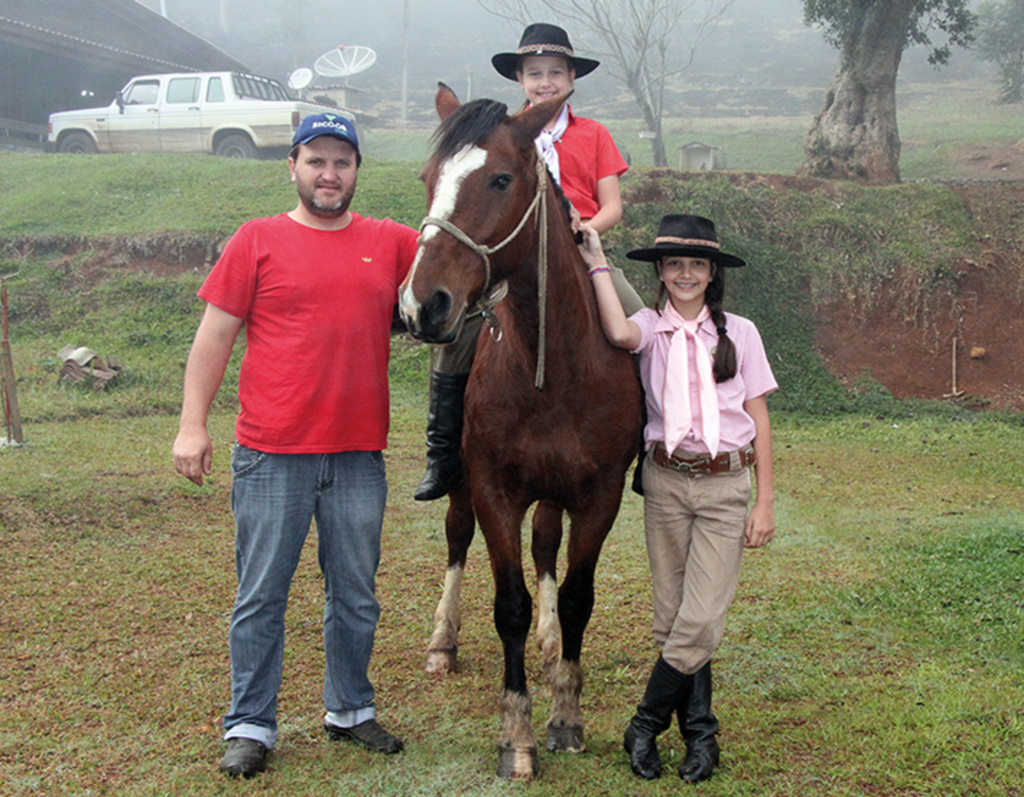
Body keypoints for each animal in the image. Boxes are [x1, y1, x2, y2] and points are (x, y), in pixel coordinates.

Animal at [397, 82, 638, 774]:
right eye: (429, 179)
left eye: (501, 179)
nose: (422, 305)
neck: (550, 365)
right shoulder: (492, 488)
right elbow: (508, 605)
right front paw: (518, 737)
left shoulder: (600, 495)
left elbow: (578, 597)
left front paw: (566, 716)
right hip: (460, 481)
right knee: (456, 537)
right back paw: (443, 641)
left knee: (546, 547)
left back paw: (551, 640)